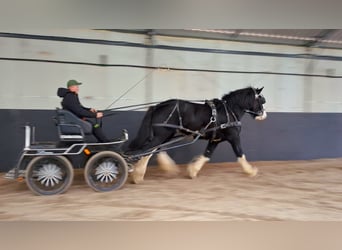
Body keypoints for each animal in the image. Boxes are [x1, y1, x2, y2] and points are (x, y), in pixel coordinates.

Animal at [125, 87, 268, 183]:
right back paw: (137, 175)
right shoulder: (234, 137)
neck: (229, 111)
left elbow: (207, 155)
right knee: (147, 151)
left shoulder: (215, 140)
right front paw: (250, 171)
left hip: (166, 135)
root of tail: (157, 106)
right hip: (162, 135)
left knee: (156, 150)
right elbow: (240, 154)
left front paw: (193, 171)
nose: (264, 115)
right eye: (261, 100)